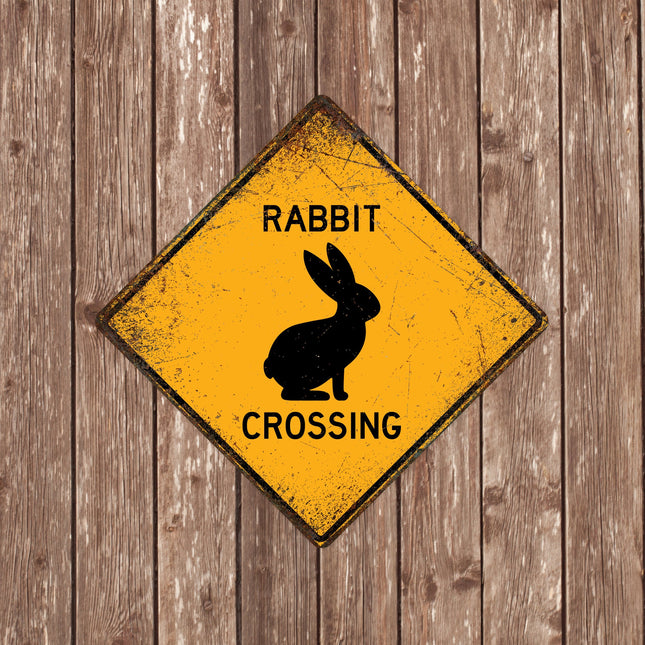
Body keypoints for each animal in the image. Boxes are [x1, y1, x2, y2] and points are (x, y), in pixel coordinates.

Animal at [264, 243, 380, 400]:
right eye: (359, 298)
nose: (377, 308)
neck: (346, 320)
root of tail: (270, 365)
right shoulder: (338, 366)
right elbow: (338, 382)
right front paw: (342, 396)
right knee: (288, 394)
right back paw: (320, 395)